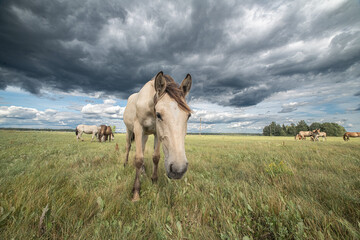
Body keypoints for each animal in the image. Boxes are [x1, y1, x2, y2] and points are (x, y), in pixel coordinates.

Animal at [123, 71, 193, 201]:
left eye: (188, 116)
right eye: (159, 115)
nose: (178, 170)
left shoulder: (157, 132)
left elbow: (155, 157)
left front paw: (154, 182)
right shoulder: (138, 128)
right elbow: (138, 159)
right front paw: (136, 193)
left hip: (145, 136)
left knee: (143, 148)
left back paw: (143, 172)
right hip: (129, 130)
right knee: (128, 147)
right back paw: (125, 164)